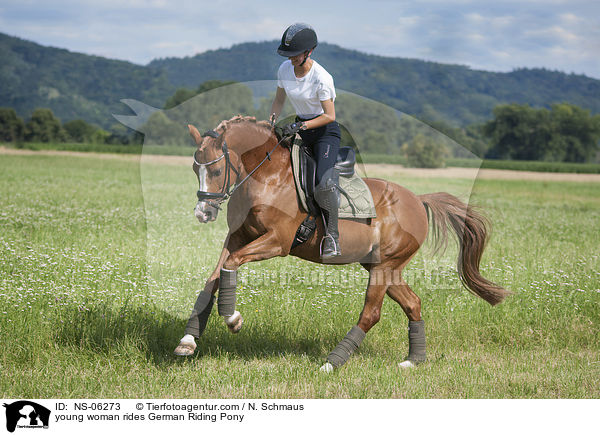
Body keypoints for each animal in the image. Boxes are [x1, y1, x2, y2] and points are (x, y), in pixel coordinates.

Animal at [176, 116, 508, 372]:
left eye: (216, 170)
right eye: (194, 169)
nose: (203, 213)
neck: (267, 177)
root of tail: (418, 199)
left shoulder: (276, 242)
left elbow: (231, 266)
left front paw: (233, 320)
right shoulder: (237, 237)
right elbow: (214, 278)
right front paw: (188, 340)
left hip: (384, 268)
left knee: (371, 314)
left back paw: (332, 362)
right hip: (385, 268)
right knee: (413, 303)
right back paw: (413, 360)